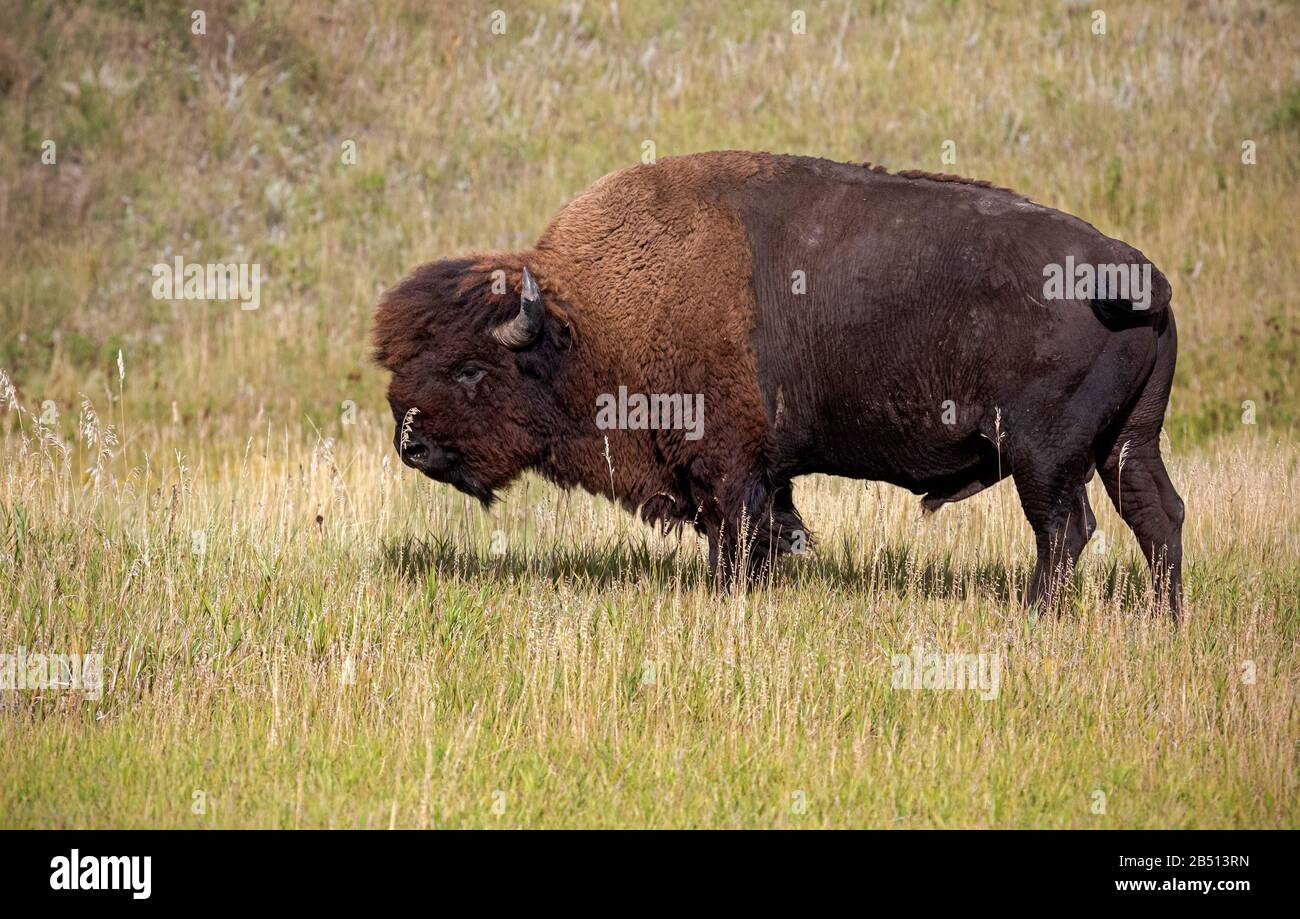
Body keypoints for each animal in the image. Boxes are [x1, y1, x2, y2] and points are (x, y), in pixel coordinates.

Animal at [371, 150, 1185, 613]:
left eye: (471, 368)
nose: (411, 445)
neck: (585, 320)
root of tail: (1134, 268)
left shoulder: (730, 469)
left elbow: (735, 543)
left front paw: (728, 604)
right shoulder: (761, 476)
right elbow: (766, 537)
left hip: (1044, 454)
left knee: (1065, 529)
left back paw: (1035, 615)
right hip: (1128, 441)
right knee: (1158, 515)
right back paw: (1162, 618)